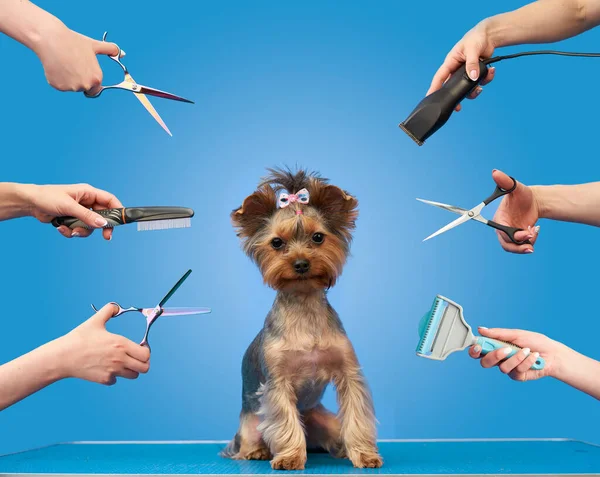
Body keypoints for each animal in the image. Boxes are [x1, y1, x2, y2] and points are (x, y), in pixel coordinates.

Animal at [221, 167, 384, 468]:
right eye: (276, 243)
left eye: (318, 237)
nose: (300, 263)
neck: (304, 303)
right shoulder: (277, 383)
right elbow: (285, 421)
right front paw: (289, 457)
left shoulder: (348, 372)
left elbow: (357, 415)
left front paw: (364, 453)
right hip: (251, 423)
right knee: (251, 439)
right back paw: (257, 451)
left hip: (321, 418)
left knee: (334, 432)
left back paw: (341, 448)